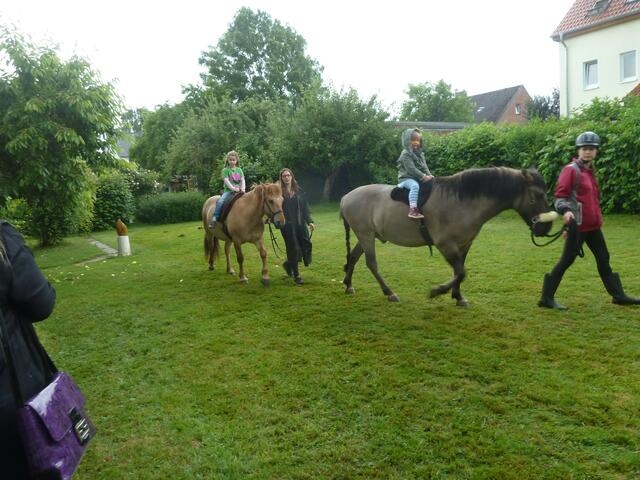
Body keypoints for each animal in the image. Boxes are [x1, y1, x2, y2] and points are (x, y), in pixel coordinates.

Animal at [340, 167, 554, 305]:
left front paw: (458, 296)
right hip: (366, 235)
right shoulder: (445, 244)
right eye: (537, 195)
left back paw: (349, 285)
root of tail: (346, 197)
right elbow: (461, 272)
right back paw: (389, 292)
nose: (545, 227)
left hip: (367, 236)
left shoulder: (464, 244)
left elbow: (459, 271)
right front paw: (437, 291)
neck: (461, 202)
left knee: (354, 257)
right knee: (371, 263)